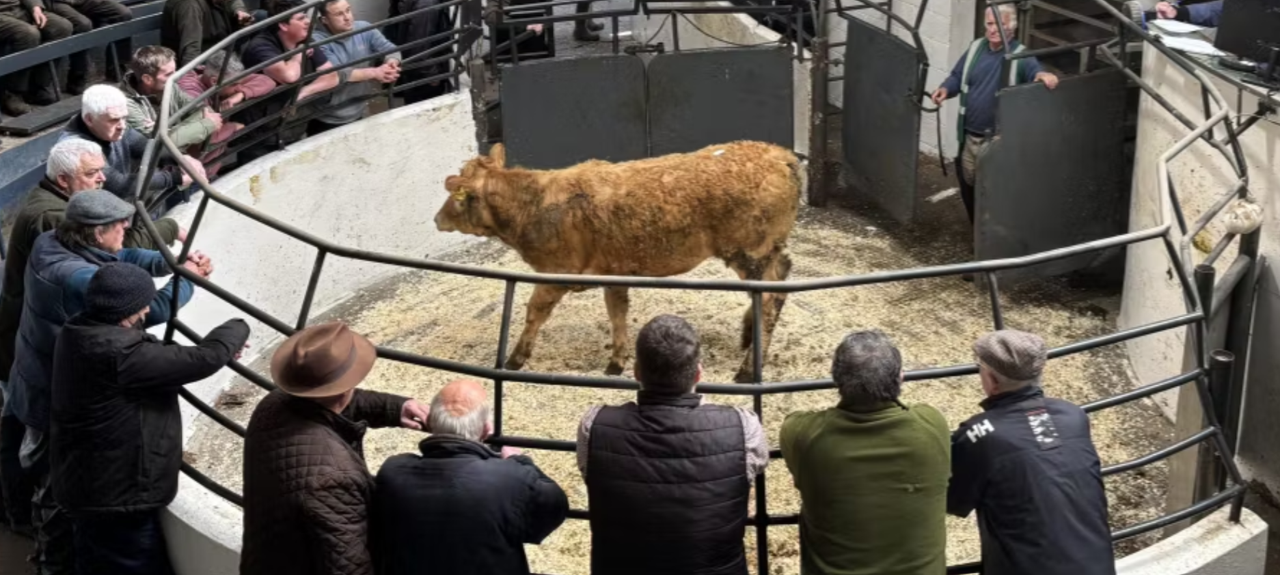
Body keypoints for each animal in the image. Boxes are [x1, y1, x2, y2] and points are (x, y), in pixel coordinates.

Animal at [434, 140, 801, 383]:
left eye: (456, 197)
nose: (437, 219)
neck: (533, 204)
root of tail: (781, 155)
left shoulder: (558, 272)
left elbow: (535, 312)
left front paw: (515, 358)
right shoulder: (613, 270)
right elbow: (617, 312)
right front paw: (616, 362)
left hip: (750, 252)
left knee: (769, 298)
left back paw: (747, 369)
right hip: (767, 252)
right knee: (781, 278)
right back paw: (749, 336)